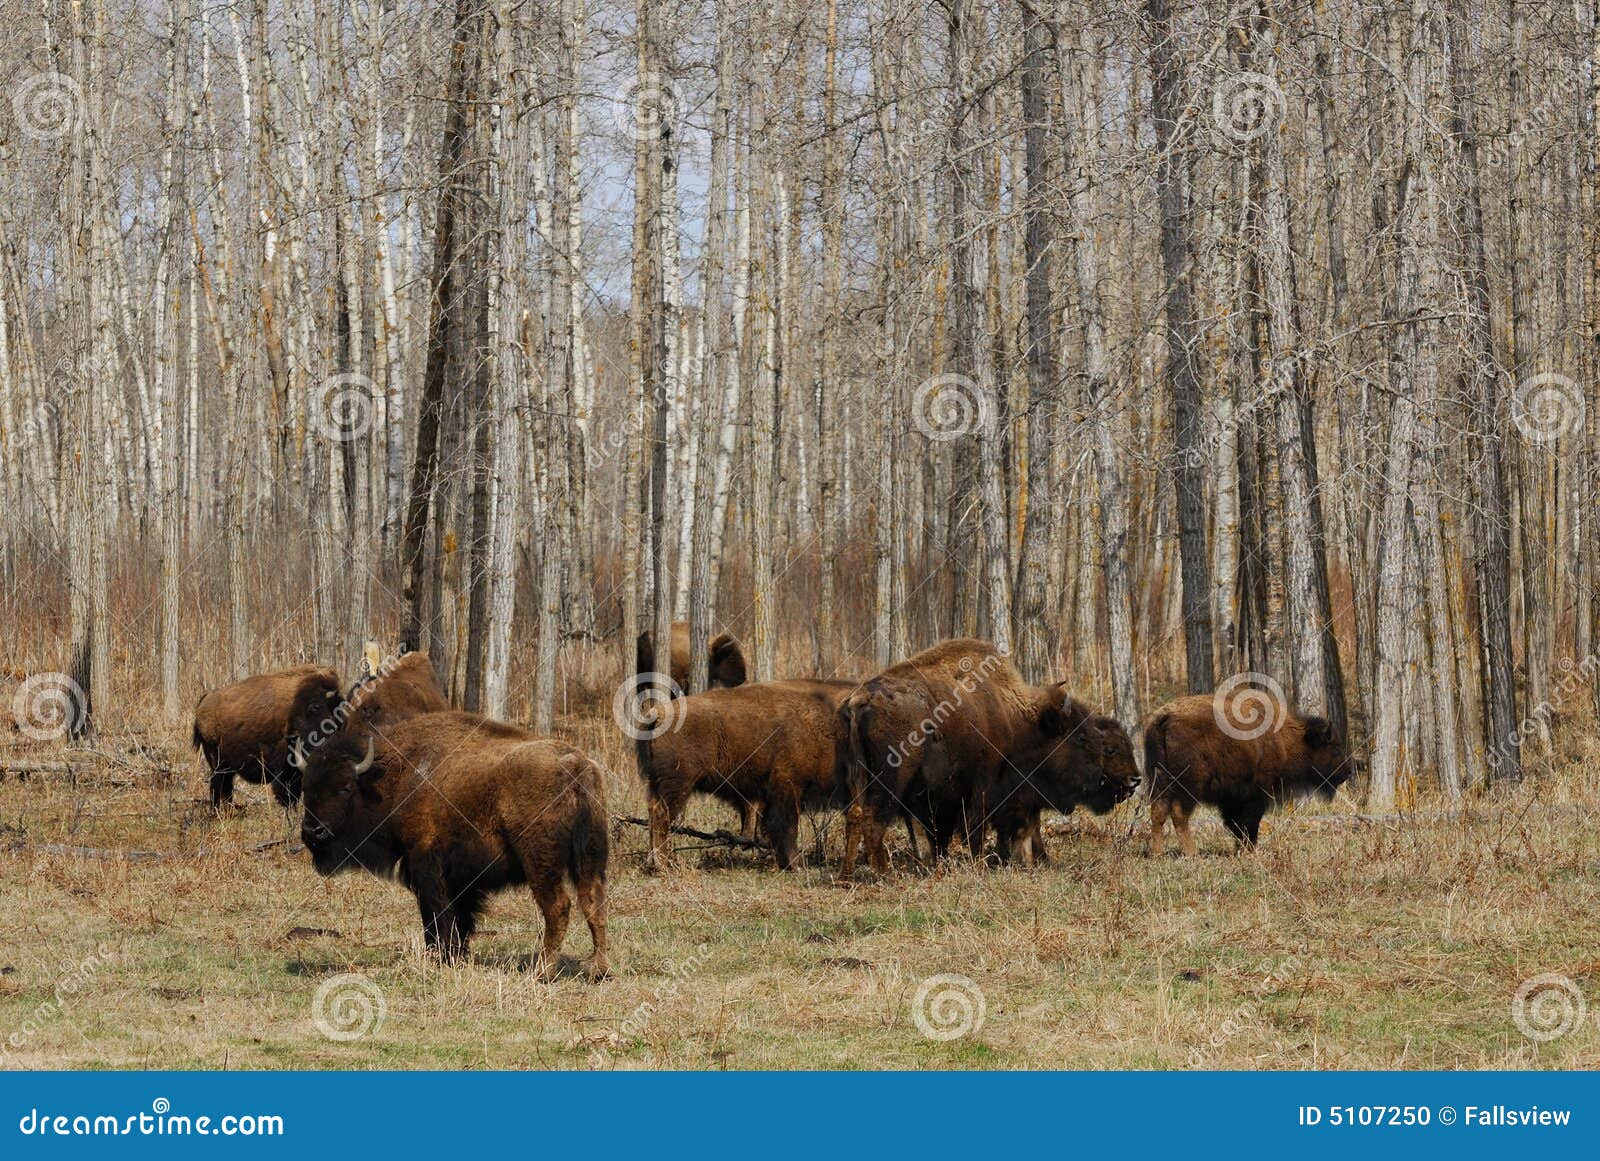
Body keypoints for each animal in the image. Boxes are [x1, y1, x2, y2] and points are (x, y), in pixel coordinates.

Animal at [192, 665, 341, 809]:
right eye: (314, 707)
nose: (292, 735)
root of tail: (205, 699)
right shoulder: (285, 769)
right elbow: (288, 796)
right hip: (216, 762)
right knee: (216, 787)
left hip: (227, 767)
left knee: (226, 788)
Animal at [295, 710, 609, 976]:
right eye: (305, 787)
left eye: (345, 787)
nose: (313, 831)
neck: (395, 776)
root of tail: (577, 768)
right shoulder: (462, 878)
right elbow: (461, 917)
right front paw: (456, 955)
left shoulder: (425, 865)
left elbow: (437, 914)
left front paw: (441, 956)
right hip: (590, 858)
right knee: (593, 903)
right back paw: (598, 969)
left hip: (541, 862)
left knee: (558, 907)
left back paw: (543, 971)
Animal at [635, 678, 856, 872]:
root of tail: (658, 714)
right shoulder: (789, 787)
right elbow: (787, 828)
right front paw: (797, 865)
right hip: (678, 783)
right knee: (661, 816)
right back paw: (662, 864)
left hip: (657, 785)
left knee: (653, 814)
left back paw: (656, 862)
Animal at [838, 638, 1137, 877]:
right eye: (1080, 737)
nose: (1135, 780)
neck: (1020, 722)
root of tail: (859, 700)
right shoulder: (984, 791)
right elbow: (977, 829)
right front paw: (980, 865)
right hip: (890, 781)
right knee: (873, 820)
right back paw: (884, 874)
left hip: (858, 779)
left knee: (854, 816)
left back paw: (847, 874)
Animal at [1144, 691, 1352, 856]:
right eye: (1335, 748)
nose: (1347, 772)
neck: (1286, 740)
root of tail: (1165, 717)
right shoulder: (1256, 794)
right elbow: (1249, 822)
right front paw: (1249, 849)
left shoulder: (1232, 798)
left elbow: (1235, 823)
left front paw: (1241, 849)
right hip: (1188, 786)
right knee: (1179, 814)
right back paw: (1191, 853)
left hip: (1159, 781)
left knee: (1158, 811)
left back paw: (1157, 853)